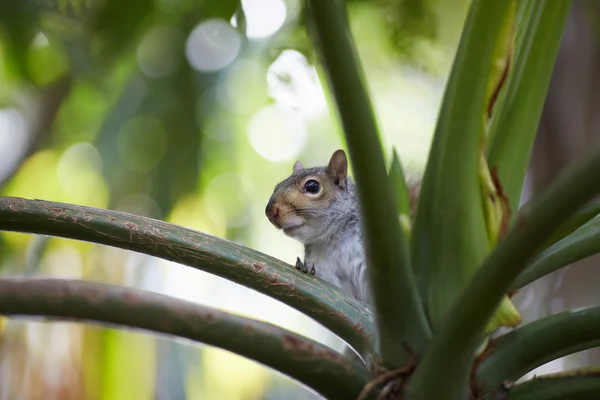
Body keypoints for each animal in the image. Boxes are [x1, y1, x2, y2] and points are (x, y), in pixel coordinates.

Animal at [264, 148, 420, 304]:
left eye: (312, 186)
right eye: (277, 186)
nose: (270, 211)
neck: (335, 237)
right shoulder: (325, 269)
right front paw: (305, 268)